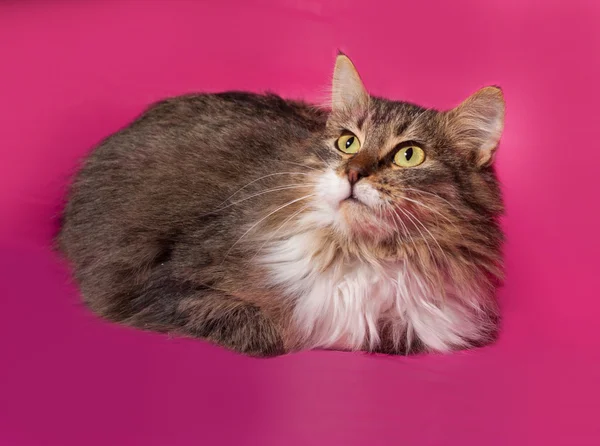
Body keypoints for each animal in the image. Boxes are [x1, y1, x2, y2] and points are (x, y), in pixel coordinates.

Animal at [57, 54, 506, 358]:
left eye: (409, 155)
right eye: (348, 143)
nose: (353, 173)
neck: (360, 252)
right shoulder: (168, 284)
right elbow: (275, 333)